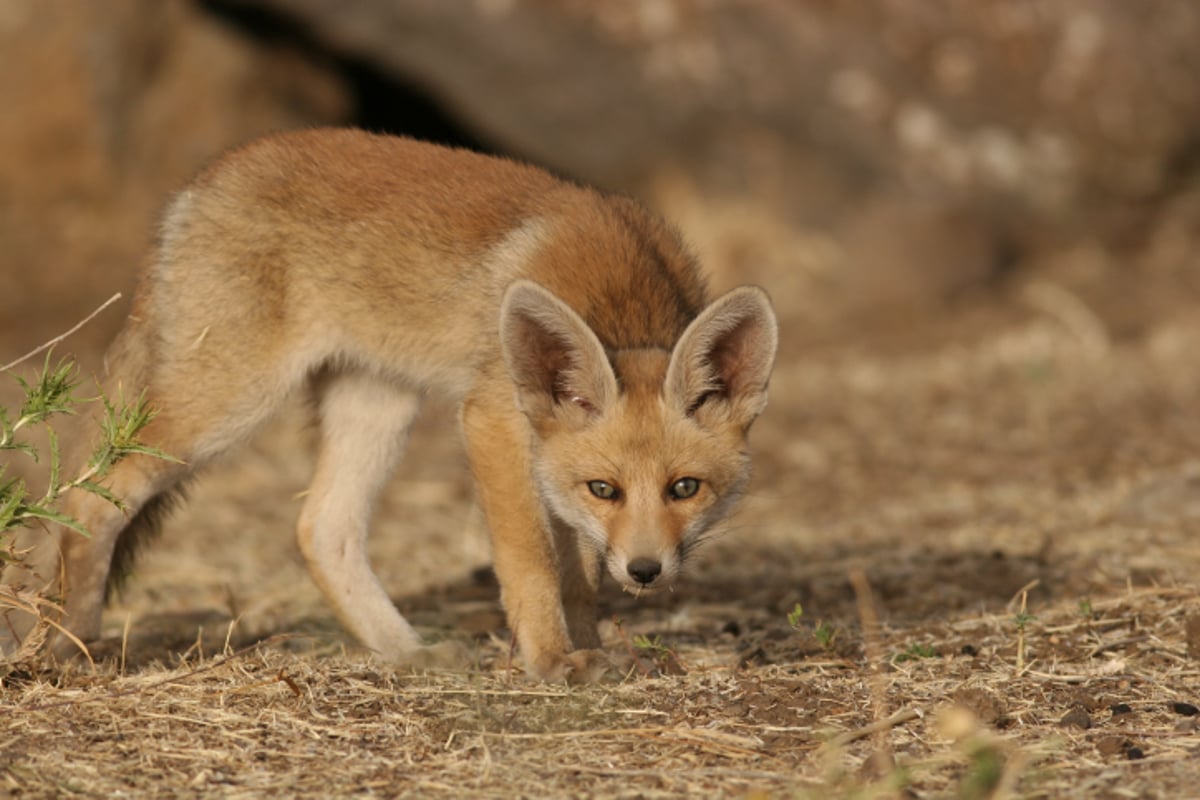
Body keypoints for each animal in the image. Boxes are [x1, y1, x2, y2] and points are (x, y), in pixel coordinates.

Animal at [4, 130, 777, 681]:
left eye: (685, 489)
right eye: (606, 489)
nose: (646, 571)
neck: (620, 299)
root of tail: (195, 188)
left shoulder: (545, 460)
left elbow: (579, 575)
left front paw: (592, 648)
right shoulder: (495, 421)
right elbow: (533, 562)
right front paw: (552, 660)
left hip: (375, 406)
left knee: (320, 528)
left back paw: (404, 650)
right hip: (224, 407)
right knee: (89, 499)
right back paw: (67, 643)